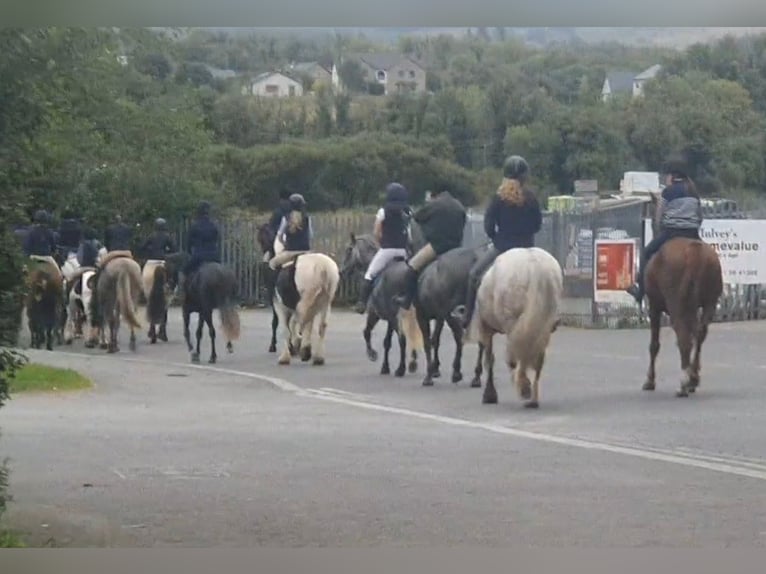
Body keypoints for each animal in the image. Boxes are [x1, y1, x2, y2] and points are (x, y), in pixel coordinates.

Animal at [464, 248, 568, 410]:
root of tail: (535, 264)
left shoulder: (486, 328)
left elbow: (489, 359)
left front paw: (489, 394)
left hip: (513, 323)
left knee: (519, 353)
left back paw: (524, 387)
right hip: (543, 325)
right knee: (537, 358)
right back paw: (532, 399)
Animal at [640, 212, 728, 396]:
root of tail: (694, 250)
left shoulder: (654, 306)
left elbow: (654, 344)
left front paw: (650, 381)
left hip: (676, 305)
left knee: (683, 337)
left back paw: (684, 384)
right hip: (709, 302)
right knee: (699, 334)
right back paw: (692, 378)